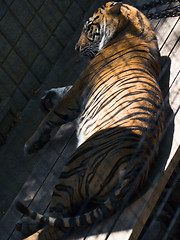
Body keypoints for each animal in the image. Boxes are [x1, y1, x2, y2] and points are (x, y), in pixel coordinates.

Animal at [15, 1, 165, 240]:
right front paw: (47, 98)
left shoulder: (79, 88)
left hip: (72, 169)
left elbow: (52, 115)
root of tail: (135, 166)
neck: (138, 28)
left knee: (56, 224)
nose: (76, 49)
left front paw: (31, 144)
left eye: (88, 29)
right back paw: (24, 225)